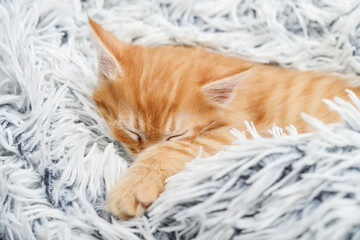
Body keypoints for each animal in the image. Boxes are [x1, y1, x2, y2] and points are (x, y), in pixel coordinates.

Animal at [88, 17, 358, 220]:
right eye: (132, 131)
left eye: (174, 135)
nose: (140, 153)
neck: (232, 99)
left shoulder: (239, 133)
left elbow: (173, 151)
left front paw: (134, 187)